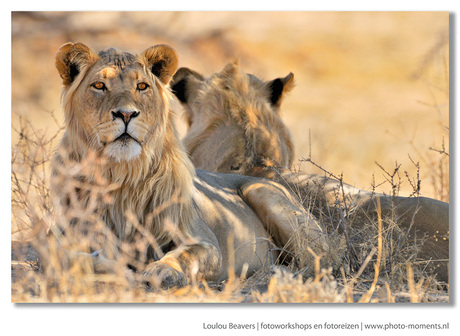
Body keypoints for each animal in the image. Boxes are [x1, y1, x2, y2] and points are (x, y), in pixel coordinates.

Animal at [50, 42, 328, 288]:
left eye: (142, 86)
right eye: (99, 85)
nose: (126, 114)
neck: (123, 174)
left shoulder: (205, 241)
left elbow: (185, 254)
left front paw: (163, 270)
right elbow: (62, 257)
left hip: (261, 192)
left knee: (320, 262)